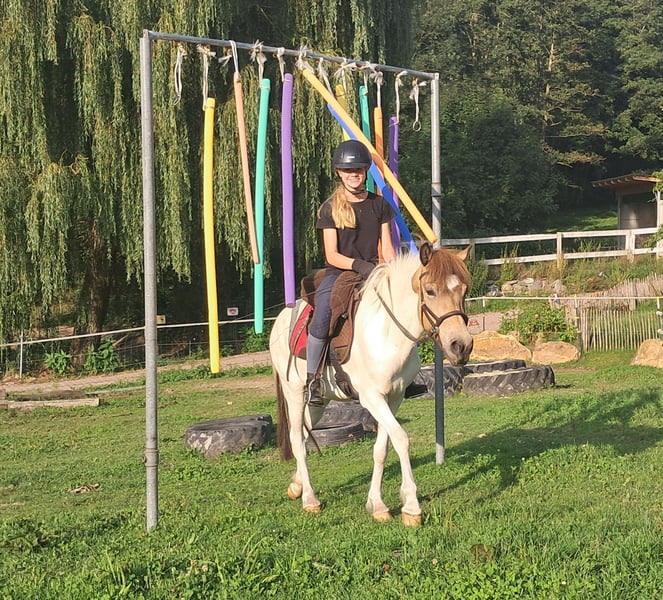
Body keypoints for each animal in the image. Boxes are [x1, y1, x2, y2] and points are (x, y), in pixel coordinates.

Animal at [268, 242, 473, 526]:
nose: (461, 346)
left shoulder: (394, 397)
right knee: (297, 439)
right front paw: (411, 506)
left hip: (319, 402)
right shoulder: (372, 398)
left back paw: (296, 486)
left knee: (304, 433)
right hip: (295, 394)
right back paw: (309, 499)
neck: (388, 333)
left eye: (464, 290)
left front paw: (377, 504)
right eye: (430, 290)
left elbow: (381, 448)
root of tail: (281, 317)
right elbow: (401, 439)